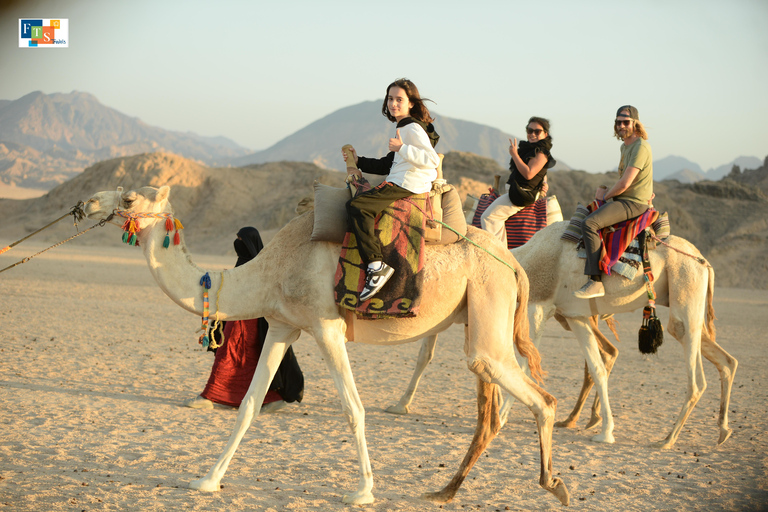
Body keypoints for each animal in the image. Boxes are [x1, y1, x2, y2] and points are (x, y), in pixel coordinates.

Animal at [82, 184, 568, 504]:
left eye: (129, 198)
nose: (87, 202)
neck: (270, 270)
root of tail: (511, 261)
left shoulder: (326, 327)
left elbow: (353, 409)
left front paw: (364, 490)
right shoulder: (282, 327)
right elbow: (249, 406)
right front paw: (206, 480)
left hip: (488, 299)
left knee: (537, 396)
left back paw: (553, 485)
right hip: (478, 313)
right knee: (490, 404)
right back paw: (446, 490)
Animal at [388, 220, 736, 448]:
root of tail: (705, 262)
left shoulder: (538, 307)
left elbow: (524, 364)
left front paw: (502, 416)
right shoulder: (576, 316)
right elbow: (597, 368)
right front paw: (606, 431)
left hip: (685, 300)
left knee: (697, 380)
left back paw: (667, 439)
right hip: (684, 310)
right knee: (728, 361)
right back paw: (721, 431)